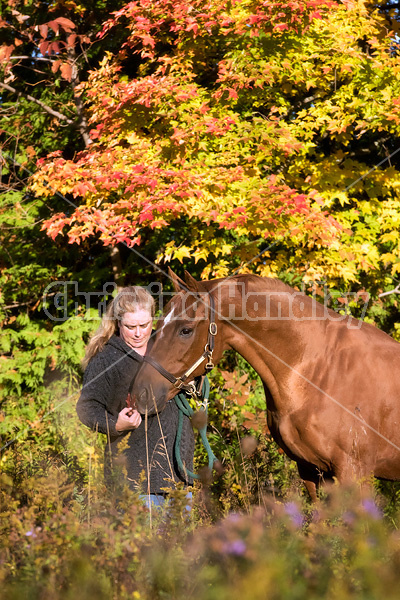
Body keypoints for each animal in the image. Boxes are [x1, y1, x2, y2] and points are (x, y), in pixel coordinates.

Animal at [132, 270, 400, 500]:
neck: (319, 368)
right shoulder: (311, 470)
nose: (140, 394)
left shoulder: (354, 472)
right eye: (156, 325)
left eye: (186, 330)